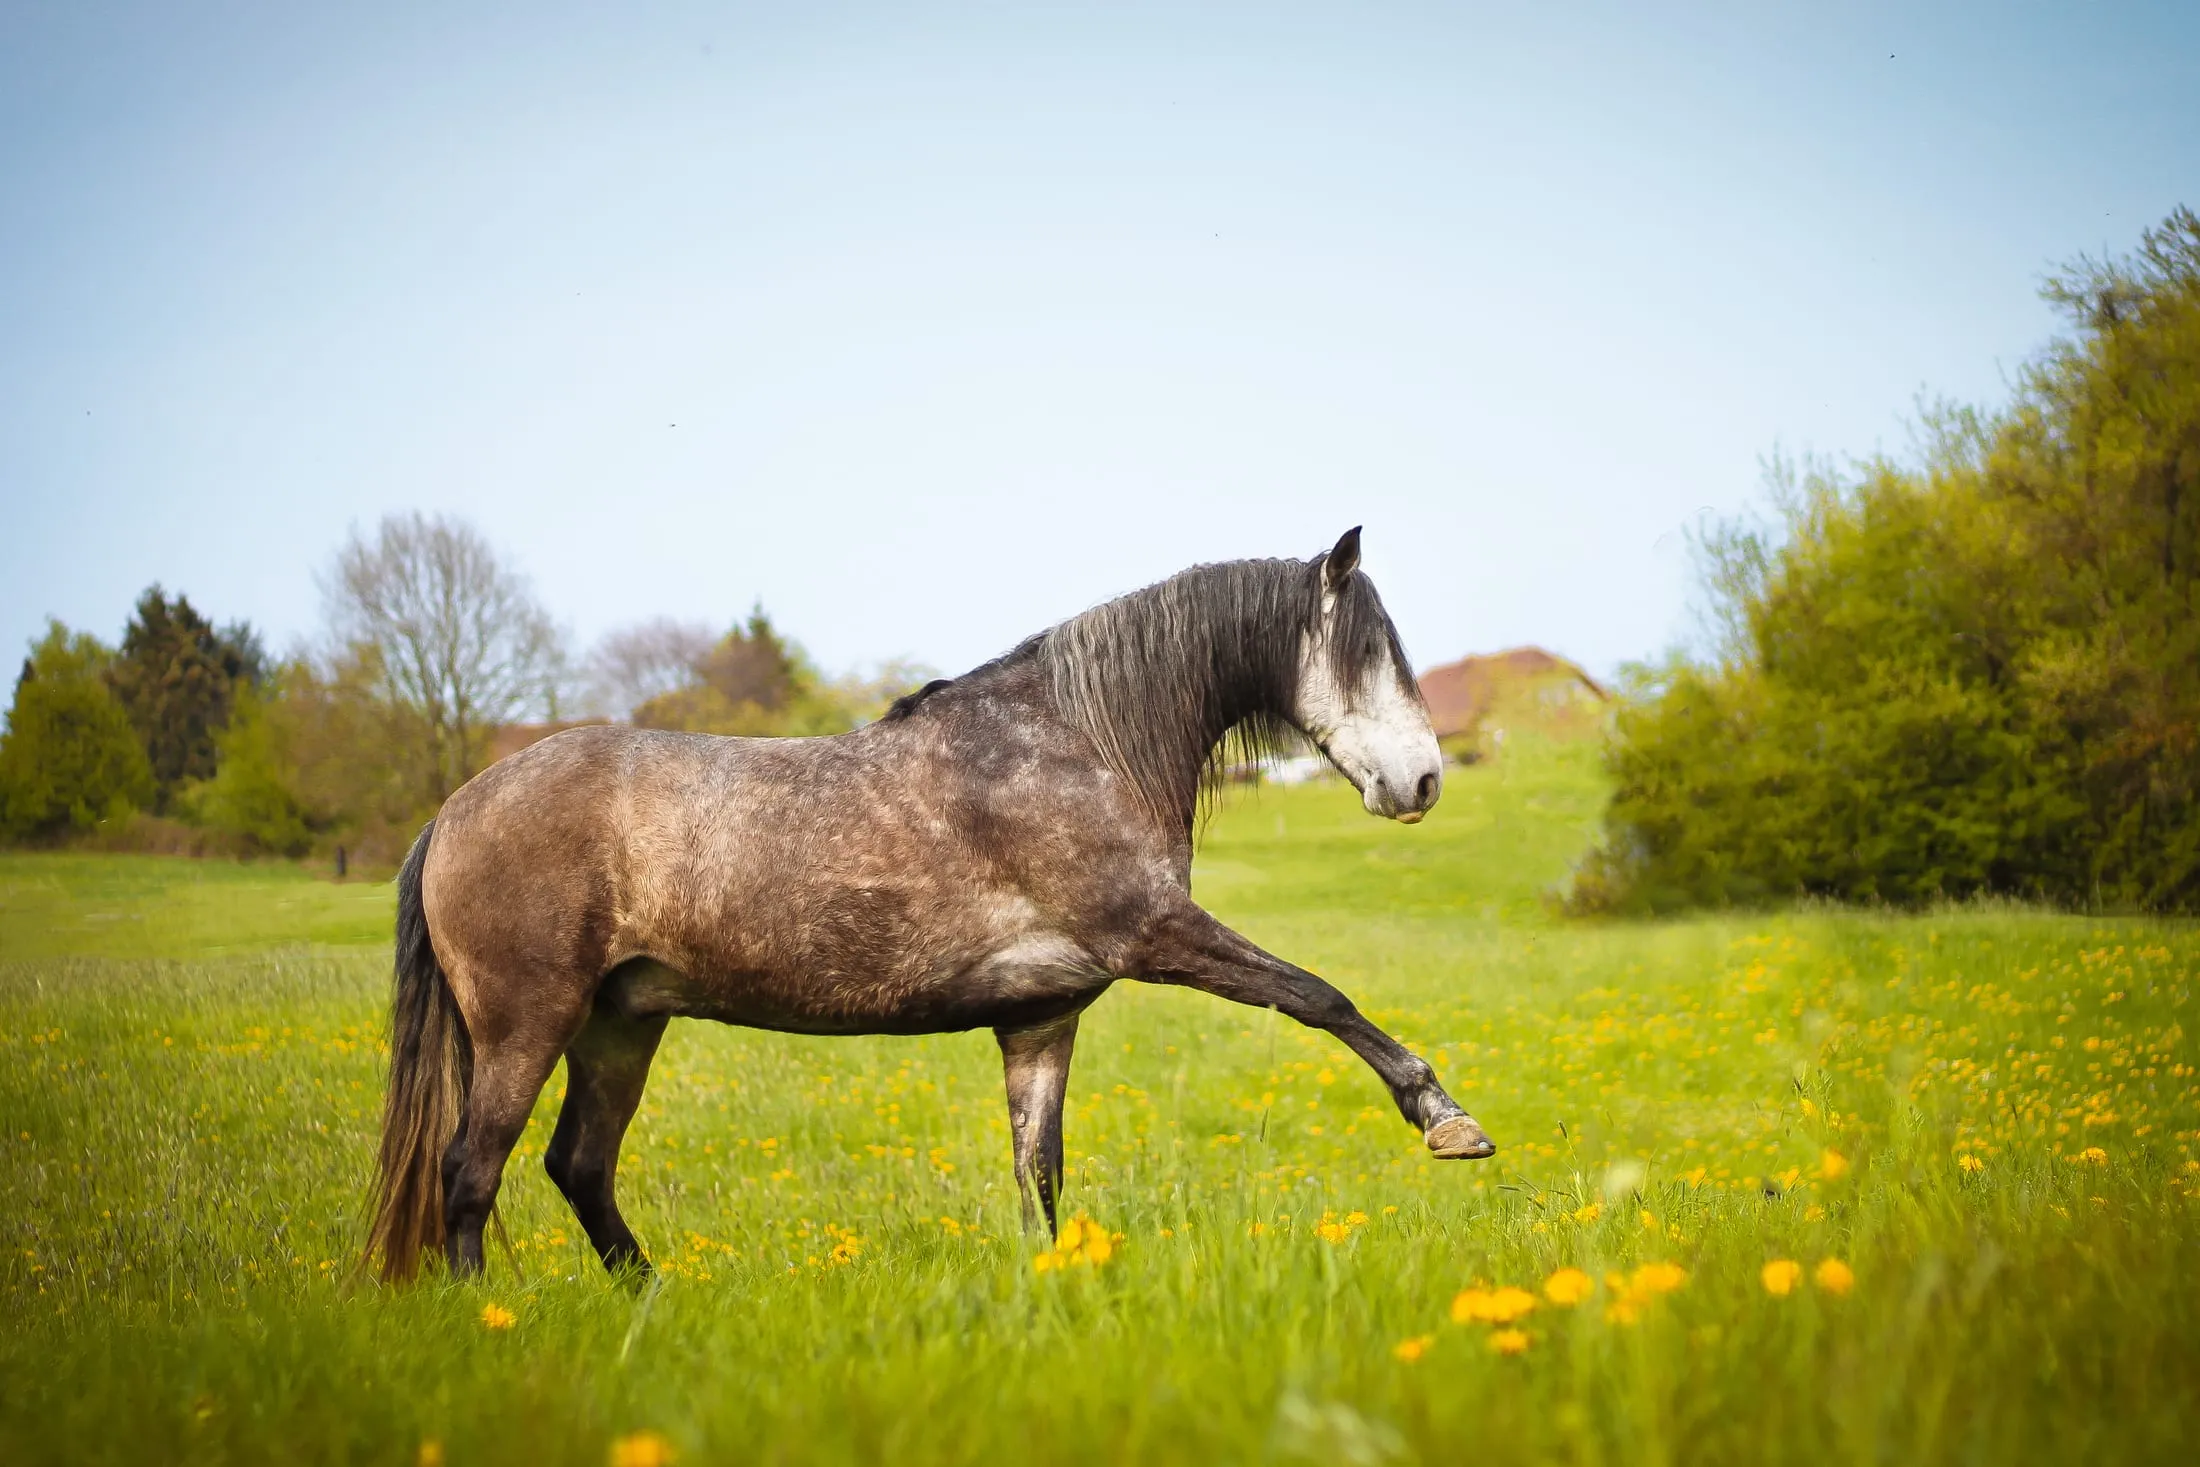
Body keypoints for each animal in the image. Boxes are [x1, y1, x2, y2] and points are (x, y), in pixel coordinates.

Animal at [363, 527, 1497, 1283]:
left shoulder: (1040, 1019)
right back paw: (493, 1320)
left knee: (579, 1168)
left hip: (620, 1025)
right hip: (528, 1025)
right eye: (1368, 648)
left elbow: (1039, 1174)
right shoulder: (1154, 935)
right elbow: (1318, 996)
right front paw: (1445, 1120)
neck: (1077, 743)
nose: (1423, 782)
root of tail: (453, 811)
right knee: (472, 1172)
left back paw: (652, 1300)